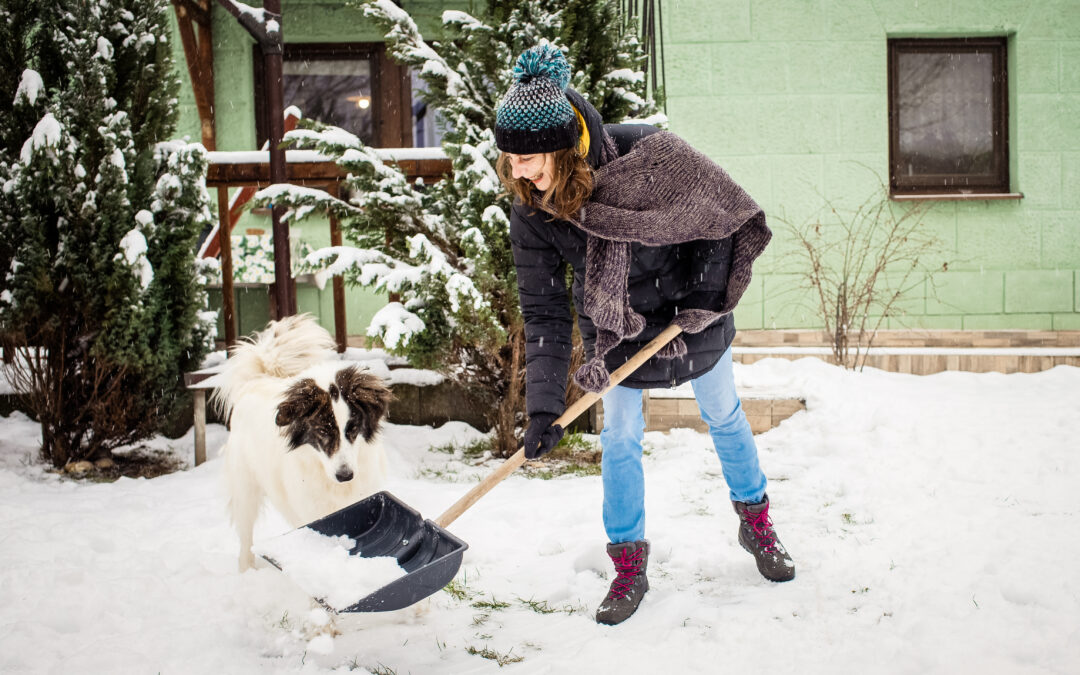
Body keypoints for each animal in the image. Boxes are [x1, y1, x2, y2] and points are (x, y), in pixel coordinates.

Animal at [212, 315, 395, 570]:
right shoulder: (312, 511)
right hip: (245, 488)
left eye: (353, 428)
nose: (345, 476)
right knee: (245, 537)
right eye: (322, 430)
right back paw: (246, 571)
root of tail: (256, 382)